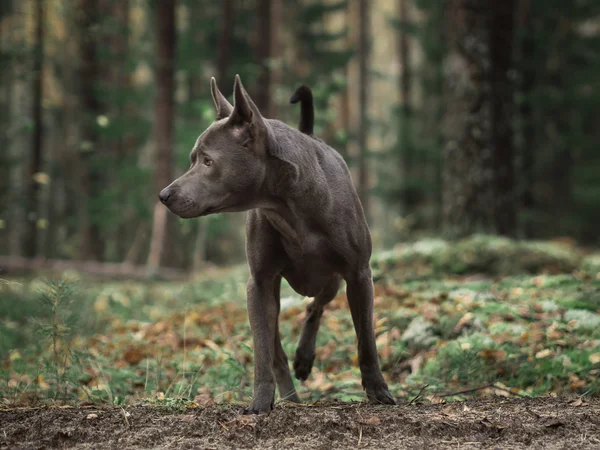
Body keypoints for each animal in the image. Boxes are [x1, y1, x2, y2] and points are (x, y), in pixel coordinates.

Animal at [159, 75, 394, 414]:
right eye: (194, 159)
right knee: (280, 346)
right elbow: (262, 350)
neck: (288, 205)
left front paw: (378, 390)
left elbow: (366, 340)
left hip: (334, 280)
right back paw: (291, 395)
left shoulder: (359, 275)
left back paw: (305, 358)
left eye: (207, 161)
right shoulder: (259, 284)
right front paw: (260, 400)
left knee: (315, 306)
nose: (164, 195)